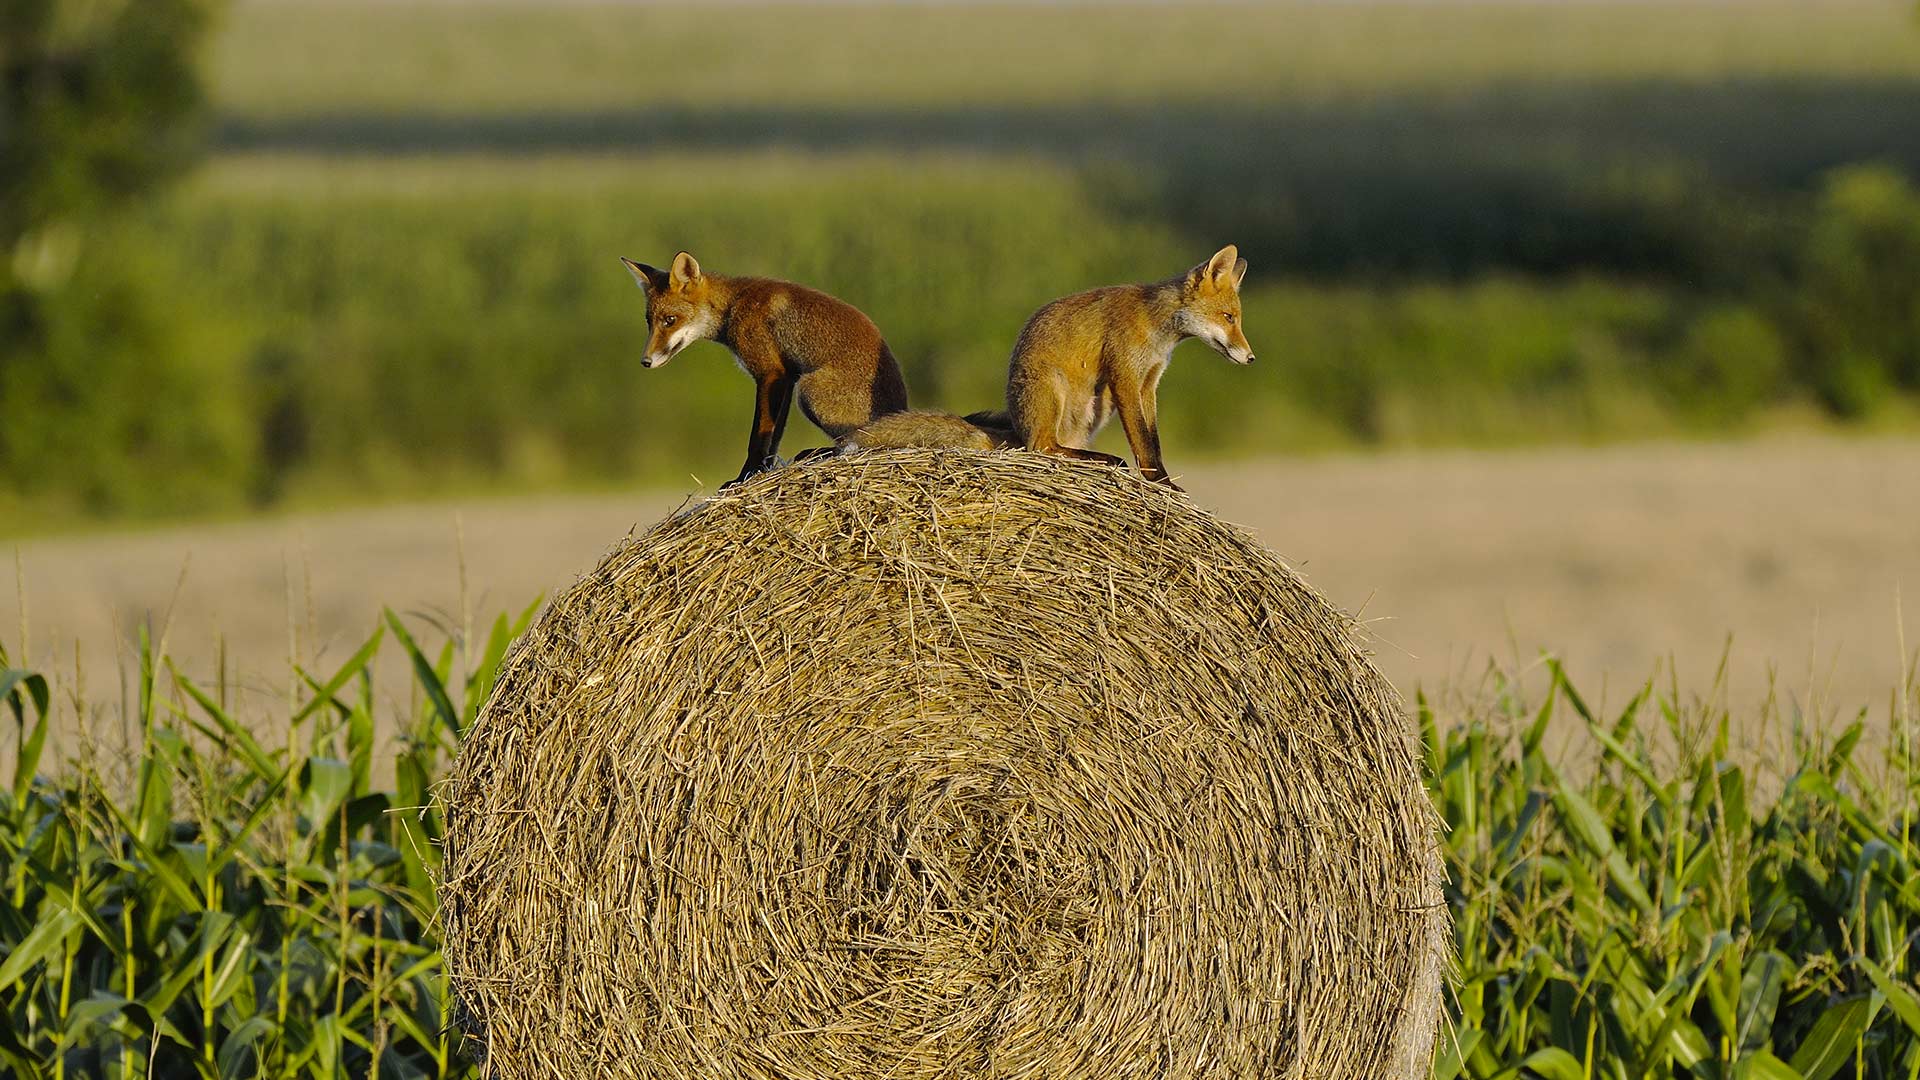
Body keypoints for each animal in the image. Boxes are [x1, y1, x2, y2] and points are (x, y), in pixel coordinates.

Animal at [618, 249, 910, 486]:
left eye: (670, 320)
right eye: (649, 322)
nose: (645, 361)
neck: (734, 305)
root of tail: (900, 407)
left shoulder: (771, 373)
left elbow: (758, 435)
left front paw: (744, 477)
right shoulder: (788, 378)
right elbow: (774, 436)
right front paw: (765, 469)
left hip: (809, 391)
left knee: (856, 440)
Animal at [1006, 243, 1259, 488]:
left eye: (1235, 319)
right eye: (1228, 317)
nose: (1251, 358)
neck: (1156, 331)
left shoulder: (1148, 382)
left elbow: (1153, 440)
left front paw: (1162, 480)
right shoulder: (1124, 377)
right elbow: (1141, 438)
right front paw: (1160, 481)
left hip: (1099, 405)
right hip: (1055, 388)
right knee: (1042, 446)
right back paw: (1105, 459)